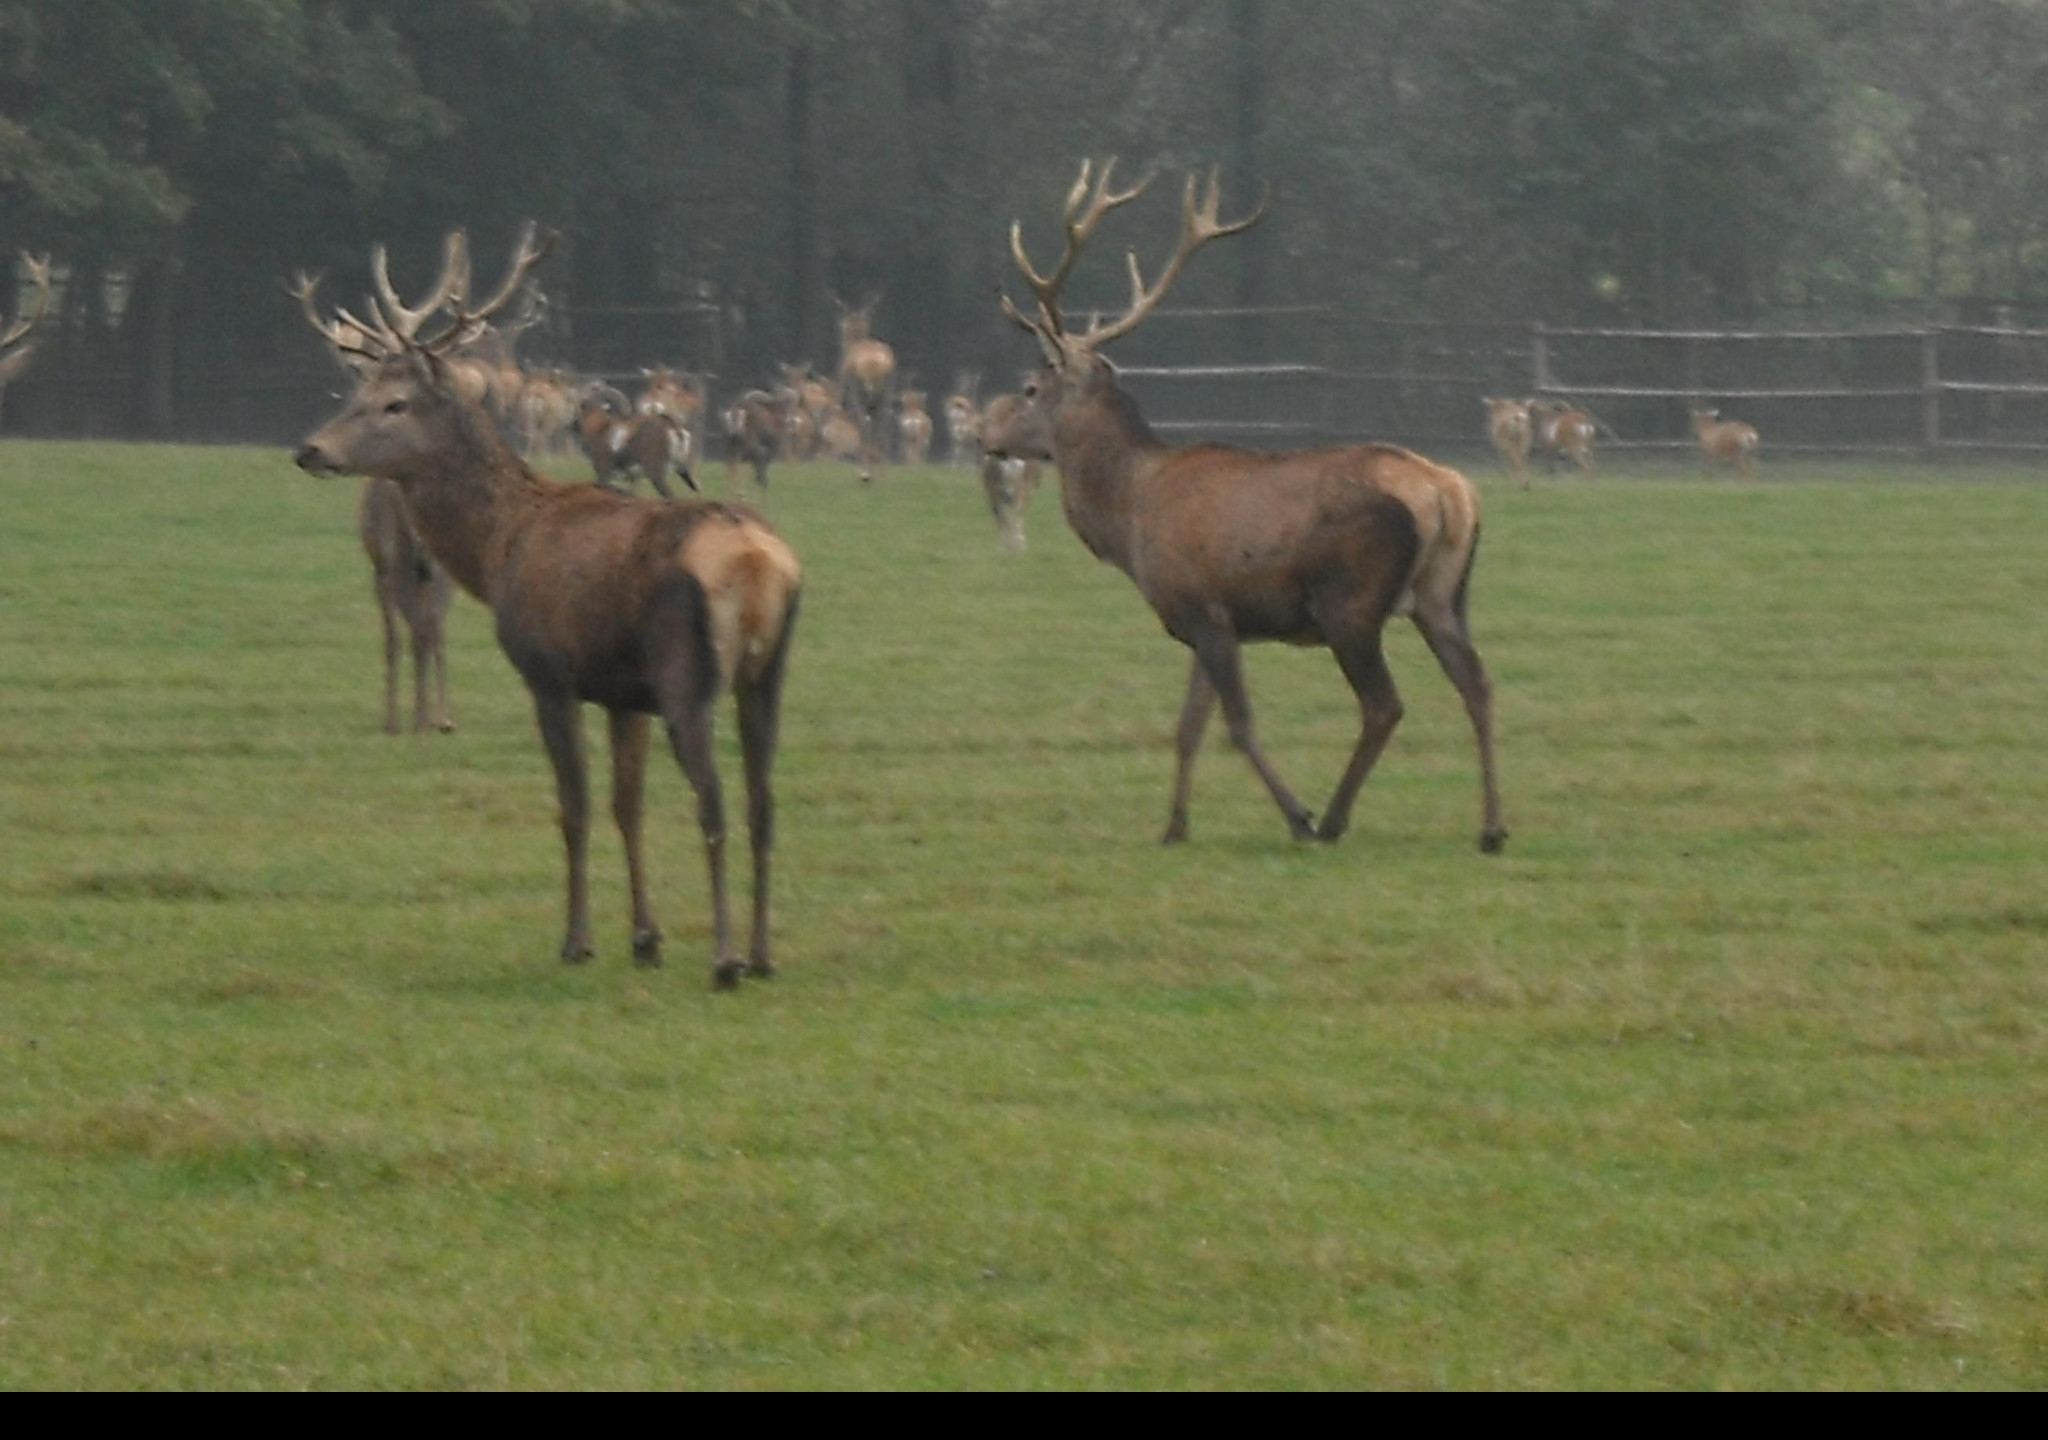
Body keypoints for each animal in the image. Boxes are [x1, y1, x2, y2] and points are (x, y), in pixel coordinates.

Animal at [360, 479, 456, 737]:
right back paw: (435, 719)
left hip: (394, 563)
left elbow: (394, 641)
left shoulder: (381, 571)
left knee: (414, 634)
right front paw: (437, 719)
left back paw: (407, 722)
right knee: (429, 631)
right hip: (435, 569)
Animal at [987, 160, 1507, 856]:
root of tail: (1449, 494)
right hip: (1444, 594)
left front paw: (1296, 815)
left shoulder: (1206, 608)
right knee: (1477, 684)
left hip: (1350, 602)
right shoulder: (1202, 620)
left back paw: (1335, 820)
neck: (1129, 514)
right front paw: (1174, 826)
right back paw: (1492, 827)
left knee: (1384, 705)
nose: (984, 432)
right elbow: (1188, 725)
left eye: (1029, 388)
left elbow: (1236, 726)